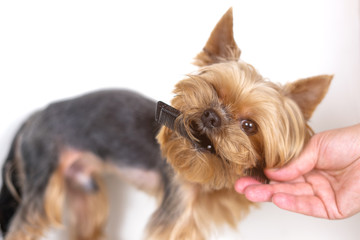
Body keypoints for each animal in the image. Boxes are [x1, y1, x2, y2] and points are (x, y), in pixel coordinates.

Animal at [0, 7, 332, 240]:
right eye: (213, 89)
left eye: (250, 126)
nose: (211, 115)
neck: (206, 173)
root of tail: (37, 114)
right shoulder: (174, 210)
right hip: (44, 177)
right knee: (23, 225)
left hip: (85, 187)